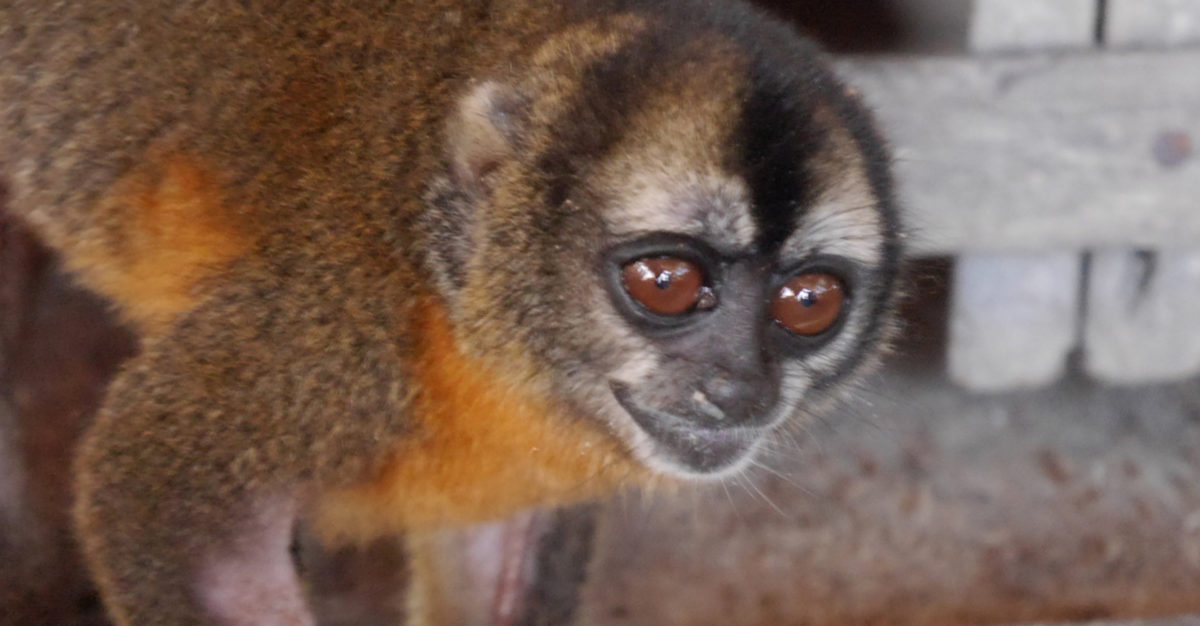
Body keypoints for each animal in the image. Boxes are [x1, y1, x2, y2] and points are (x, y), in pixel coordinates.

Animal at [0, 0, 902, 618]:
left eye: (807, 302)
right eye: (666, 282)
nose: (738, 388)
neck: (445, 300)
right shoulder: (330, 340)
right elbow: (153, 487)